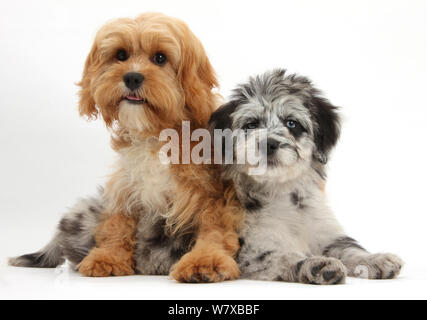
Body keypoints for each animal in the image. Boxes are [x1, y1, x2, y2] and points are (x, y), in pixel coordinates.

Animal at [210, 70, 404, 284]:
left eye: (291, 123)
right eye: (251, 124)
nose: (269, 144)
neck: (282, 191)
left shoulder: (325, 233)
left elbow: (348, 248)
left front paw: (375, 259)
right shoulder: (254, 249)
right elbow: (285, 256)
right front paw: (317, 264)